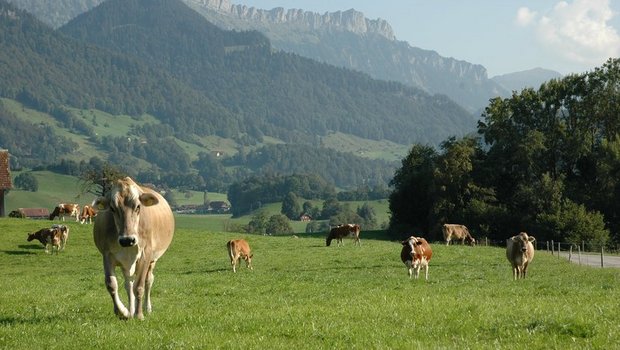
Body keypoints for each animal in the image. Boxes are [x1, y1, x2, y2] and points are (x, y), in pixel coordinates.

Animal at [93, 178, 174, 320]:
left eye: (138, 206)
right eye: (112, 208)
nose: (127, 240)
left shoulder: (145, 255)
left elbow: (140, 286)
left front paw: (139, 314)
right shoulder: (107, 255)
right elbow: (111, 284)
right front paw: (123, 312)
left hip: (152, 260)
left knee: (148, 280)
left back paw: (147, 308)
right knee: (129, 284)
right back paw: (131, 310)